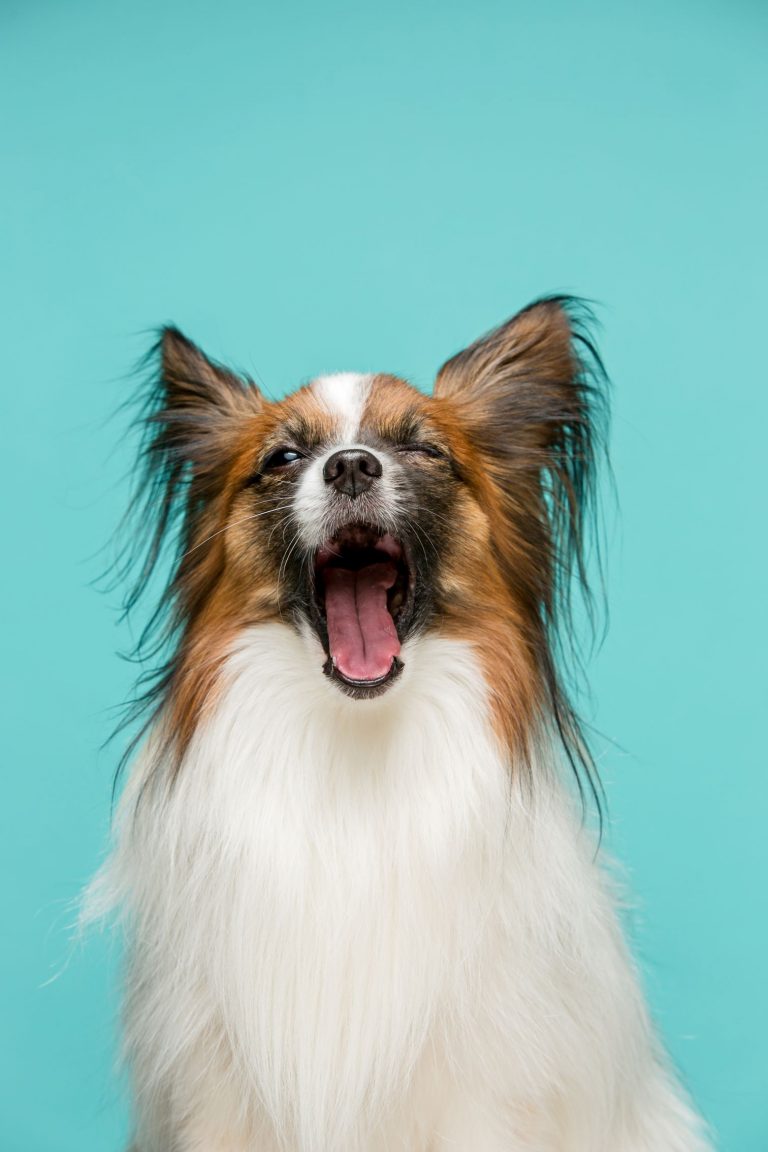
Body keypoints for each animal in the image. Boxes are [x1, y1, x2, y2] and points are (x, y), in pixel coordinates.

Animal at [91, 299, 713, 1152]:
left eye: (422, 449)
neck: (357, 751)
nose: (352, 466)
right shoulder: (221, 1096)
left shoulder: (478, 1096)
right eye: (284, 456)